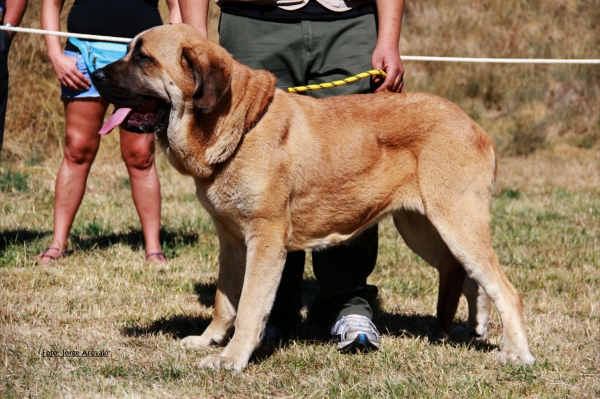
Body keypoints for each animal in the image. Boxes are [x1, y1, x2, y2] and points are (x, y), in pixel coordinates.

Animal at [92, 23, 536, 370]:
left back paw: (517, 354)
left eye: (143, 58)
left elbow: (249, 307)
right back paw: (474, 329)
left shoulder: (266, 242)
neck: (238, 125)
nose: (94, 75)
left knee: (506, 290)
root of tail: (476, 126)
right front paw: (209, 339)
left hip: (456, 223)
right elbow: (224, 300)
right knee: (467, 275)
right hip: (424, 229)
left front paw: (231, 358)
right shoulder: (231, 241)